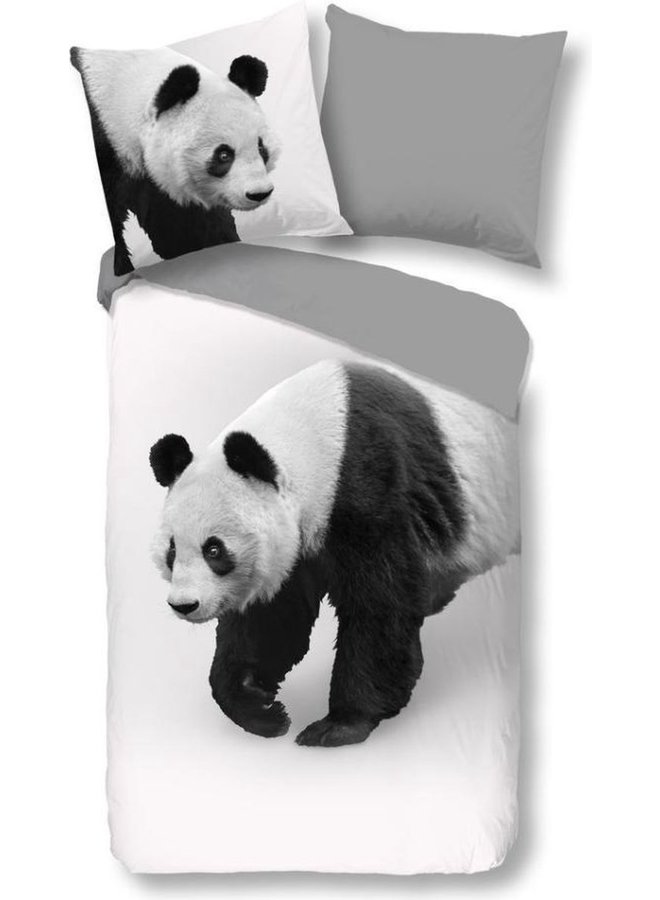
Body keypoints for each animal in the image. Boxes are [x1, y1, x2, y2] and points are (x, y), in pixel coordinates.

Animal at [149, 360, 519, 747]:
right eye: (172, 550)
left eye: (214, 549)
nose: (184, 605)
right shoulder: (295, 550)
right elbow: (272, 621)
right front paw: (260, 709)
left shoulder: (371, 486)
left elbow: (380, 605)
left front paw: (339, 725)